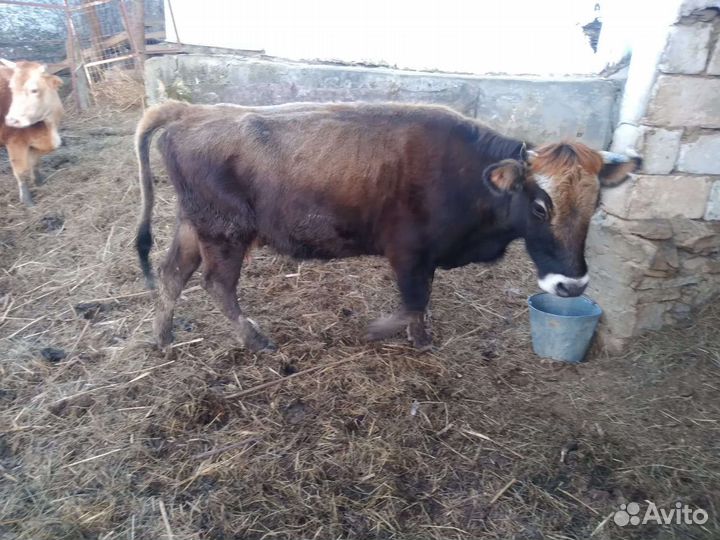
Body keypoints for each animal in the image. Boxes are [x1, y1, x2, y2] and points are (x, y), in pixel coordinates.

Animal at [1, 59, 64, 206]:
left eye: (34, 90)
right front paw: (27, 200)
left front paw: (39, 182)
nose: (11, 120)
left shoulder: (35, 144)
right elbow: (21, 171)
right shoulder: (15, 143)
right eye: (11, 88)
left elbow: (35, 163)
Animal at [134, 100, 639, 352]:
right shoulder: (409, 252)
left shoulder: (426, 257)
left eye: (595, 203)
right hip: (226, 233)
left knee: (171, 274)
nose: (572, 286)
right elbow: (413, 301)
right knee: (216, 284)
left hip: (194, 225)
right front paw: (394, 334)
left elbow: (420, 302)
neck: (467, 174)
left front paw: (417, 335)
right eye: (538, 207)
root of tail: (192, 111)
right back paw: (254, 339)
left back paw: (162, 339)